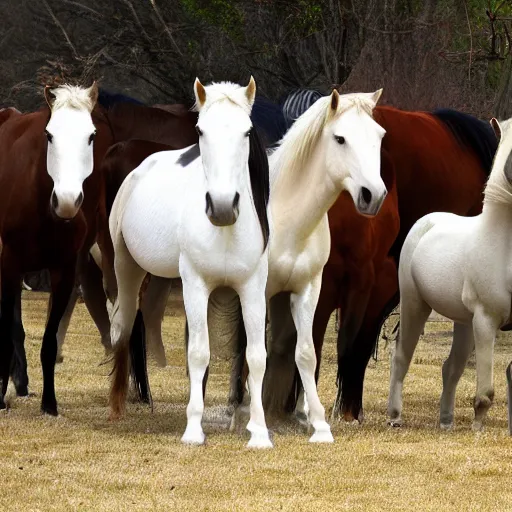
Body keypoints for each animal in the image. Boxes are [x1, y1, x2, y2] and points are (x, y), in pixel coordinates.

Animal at [0, 83, 114, 412]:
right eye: (49, 134)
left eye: (91, 135)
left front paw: (49, 404)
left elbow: (50, 341)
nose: (66, 201)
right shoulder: (9, 264)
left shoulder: (64, 271)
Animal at [109, 77, 274, 448]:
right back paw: (117, 405)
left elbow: (256, 356)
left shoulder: (252, 287)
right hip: (126, 266)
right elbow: (199, 353)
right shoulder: (196, 284)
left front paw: (259, 432)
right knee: (122, 325)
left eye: (247, 131)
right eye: (200, 131)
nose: (223, 206)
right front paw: (194, 431)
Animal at [390, 117, 510, 432]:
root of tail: (426, 221)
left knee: (451, 368)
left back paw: (446, 421)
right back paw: (394, 416)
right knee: (401, 357)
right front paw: (478, 428)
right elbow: (486, 391)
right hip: (414, 305)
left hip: (464, 323)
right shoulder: (486, 321)